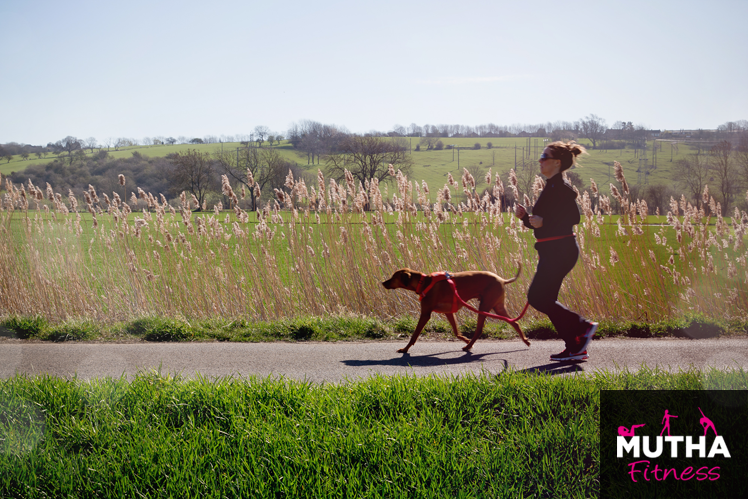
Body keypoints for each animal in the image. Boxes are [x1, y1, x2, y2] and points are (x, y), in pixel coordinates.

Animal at [382, 268, 528, 354]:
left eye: (393, 277)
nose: (383, 283)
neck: (424, 282)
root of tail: (502, 280)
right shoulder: (449, 313)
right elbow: (456, 332)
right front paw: (465, 339)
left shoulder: (425, 314)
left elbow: (414, 335)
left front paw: (405, 349)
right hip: (497, 307)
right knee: (514, 322)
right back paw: (525, 340)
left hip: (485, 306)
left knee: (480, 330)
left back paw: (468, 347)